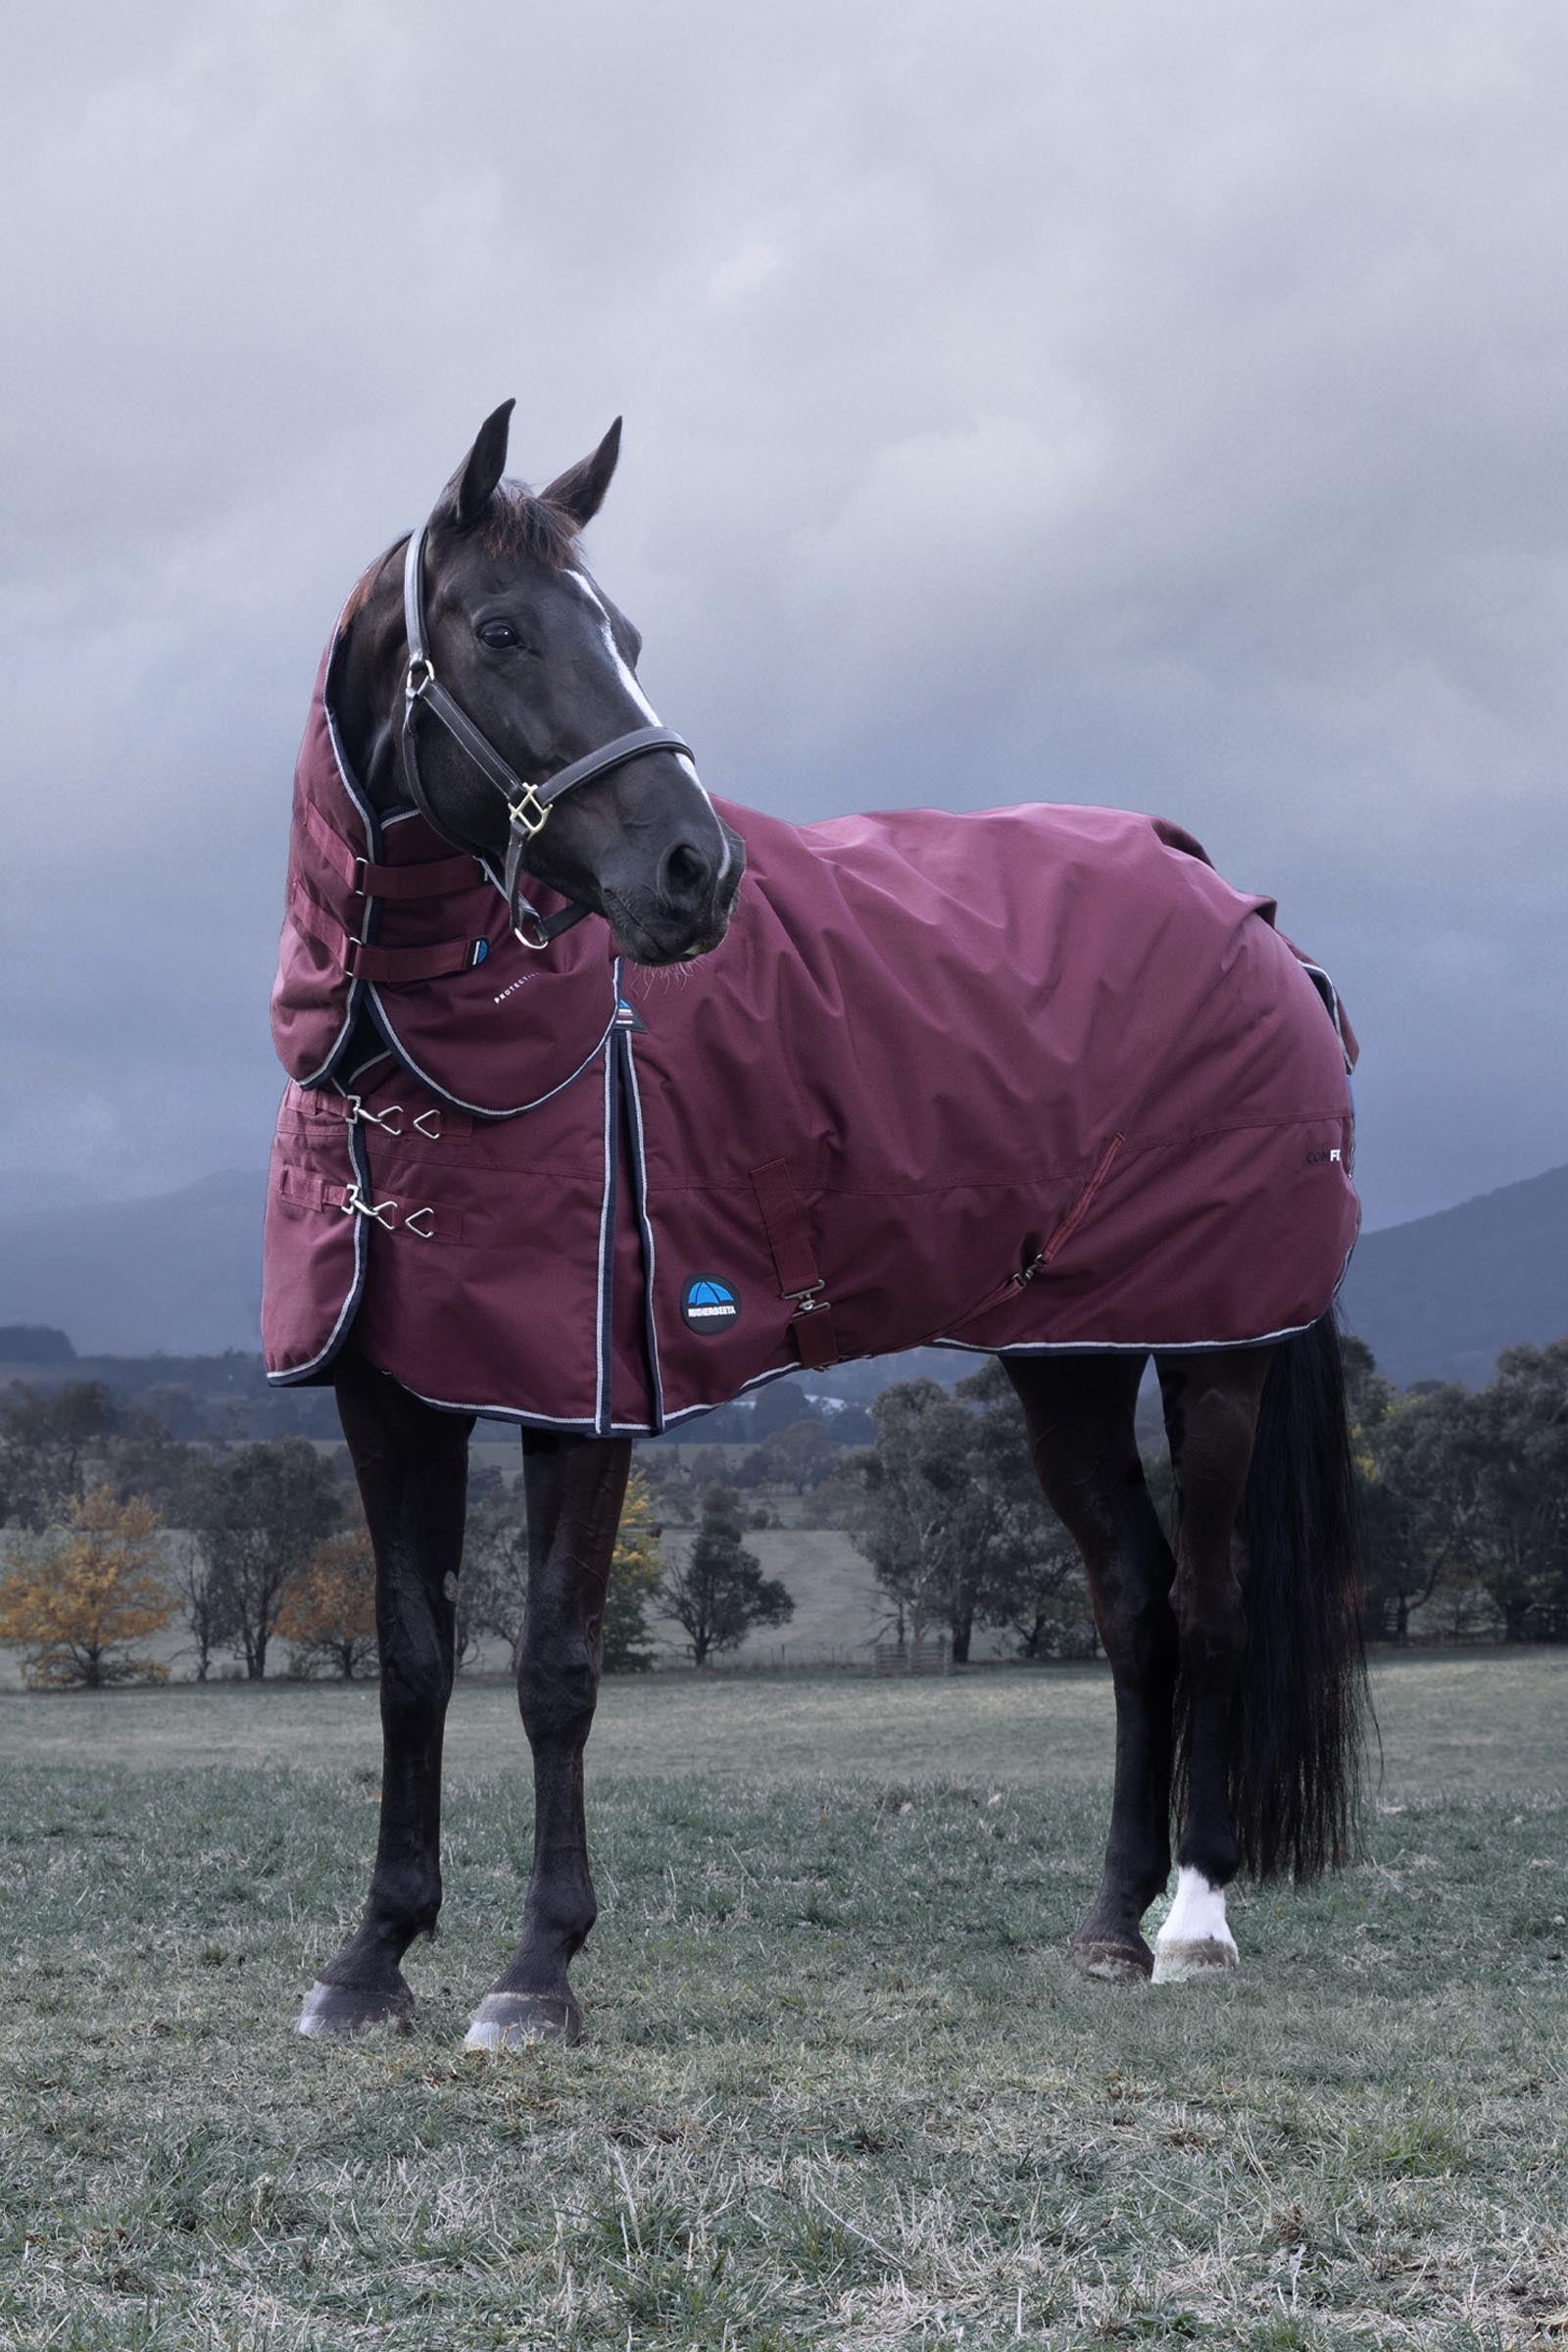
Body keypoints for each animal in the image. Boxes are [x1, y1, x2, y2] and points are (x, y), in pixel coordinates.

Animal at [263, 402, 1365, 2046]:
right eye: (503, 630)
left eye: (626, 635)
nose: (694, 871)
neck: (408, 1058)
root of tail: (1248, 914)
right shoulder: (391, 1386)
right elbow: (410, 1660)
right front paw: (372, 1957)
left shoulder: (588, 1389)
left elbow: (556, 1669)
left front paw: (536, 1976)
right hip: (1070, 1358)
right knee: (1137, 1607)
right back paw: (1108, 1925)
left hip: (1218, 1347)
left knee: (1220, 1610)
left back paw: (1195, 1925)